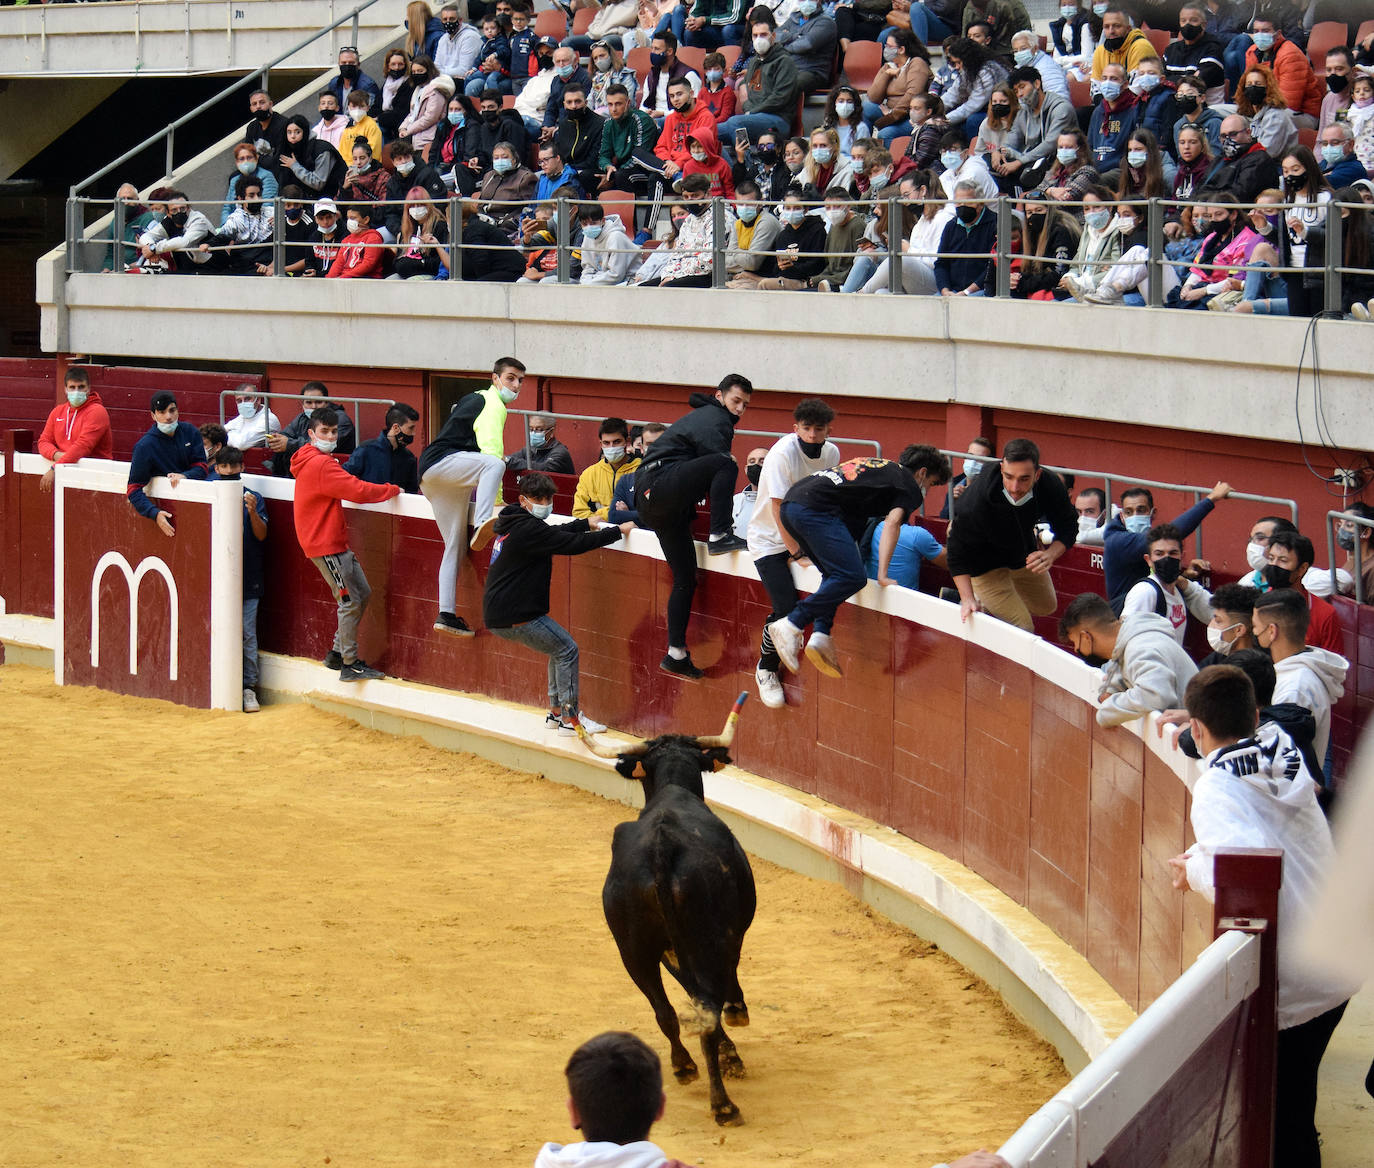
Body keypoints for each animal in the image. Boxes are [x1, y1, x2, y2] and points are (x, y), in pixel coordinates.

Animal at [577, 692, 758, 1121]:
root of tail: (663, 848)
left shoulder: (665, 950)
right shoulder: (727, 936)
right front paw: (734, 1031)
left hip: (632, 949)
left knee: (666, 1010)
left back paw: (684, 1066)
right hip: (706, 939)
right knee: (707, 1002)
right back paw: (723, 1103)